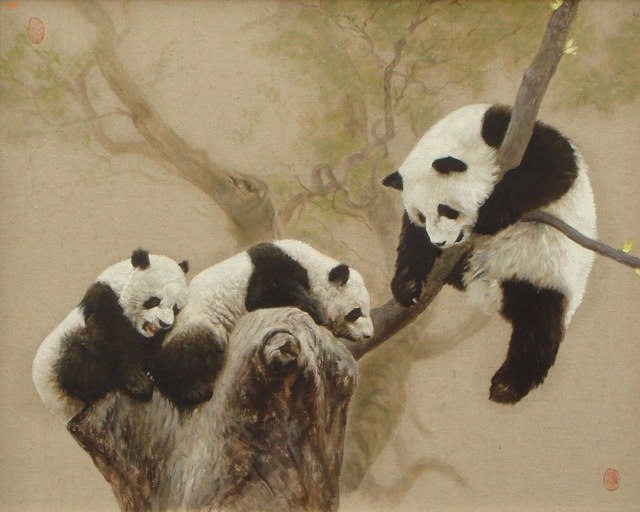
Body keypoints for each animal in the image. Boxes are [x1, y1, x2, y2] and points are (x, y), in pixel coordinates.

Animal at [32, 249, 189, 420]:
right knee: (79, 357)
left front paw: (151, 372)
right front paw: (139, 385)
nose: (165, 324)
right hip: (59, 364)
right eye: (154, 301)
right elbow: (114, 346)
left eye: (175, 307)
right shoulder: (104, 305)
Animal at [154, 239, 374, 409]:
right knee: (191, 352)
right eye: (356, 312)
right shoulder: (270, 265)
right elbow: (262, 295)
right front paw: (315, 311)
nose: (368, 335)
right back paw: (194, 390)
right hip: (198, 320)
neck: (312, 266)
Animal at [382, 104, 596, 404]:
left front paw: (487, 214)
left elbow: (553, 168)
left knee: (539, 326)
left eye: (446, 209)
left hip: (546, 271)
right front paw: (407, 285)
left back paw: (507, 385)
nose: (441, 242)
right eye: (422, 216)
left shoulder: (511, 134)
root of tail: (493, 290)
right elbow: (414, 240)